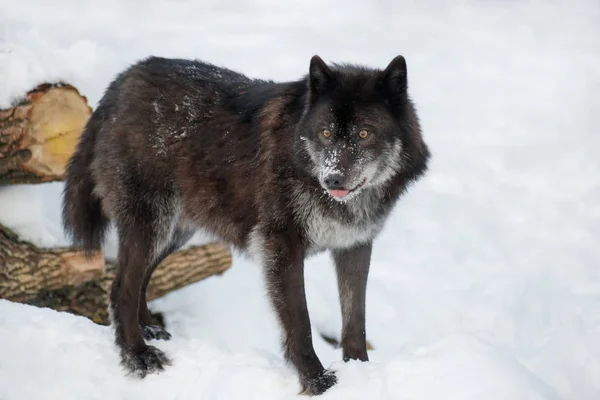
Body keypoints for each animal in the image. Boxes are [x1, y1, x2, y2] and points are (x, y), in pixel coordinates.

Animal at [63, 54, 432, 396]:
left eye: (364, 133)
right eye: (326, 132)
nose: (333, 178)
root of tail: (122, 81)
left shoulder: (355, 245)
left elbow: (356, 320)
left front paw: (360, 371)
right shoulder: (281, 246)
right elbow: (301, 323)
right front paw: (316, 382)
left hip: (173, 232)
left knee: (138, 279)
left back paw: (149, 330)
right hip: (152, 222)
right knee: (121, 287)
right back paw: (138, 356)